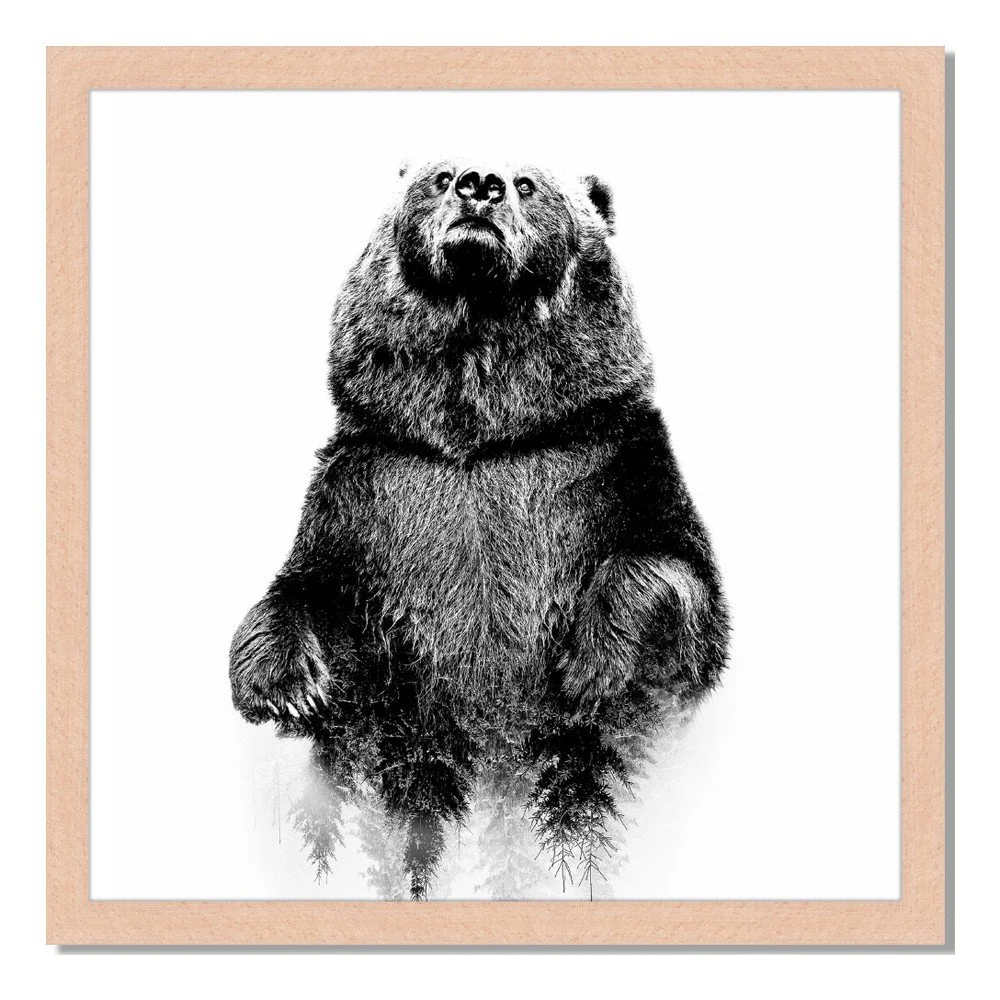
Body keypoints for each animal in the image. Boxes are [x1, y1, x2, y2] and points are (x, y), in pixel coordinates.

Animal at [229, 159, 730, 899]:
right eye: (438, 177)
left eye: (528, 183)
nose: (479, 181)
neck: (477, 437)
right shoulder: (370, 488)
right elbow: (314, 590)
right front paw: (286, 683)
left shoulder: (612, 466)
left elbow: (678, 578)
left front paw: (589, 665)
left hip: (576, 771)